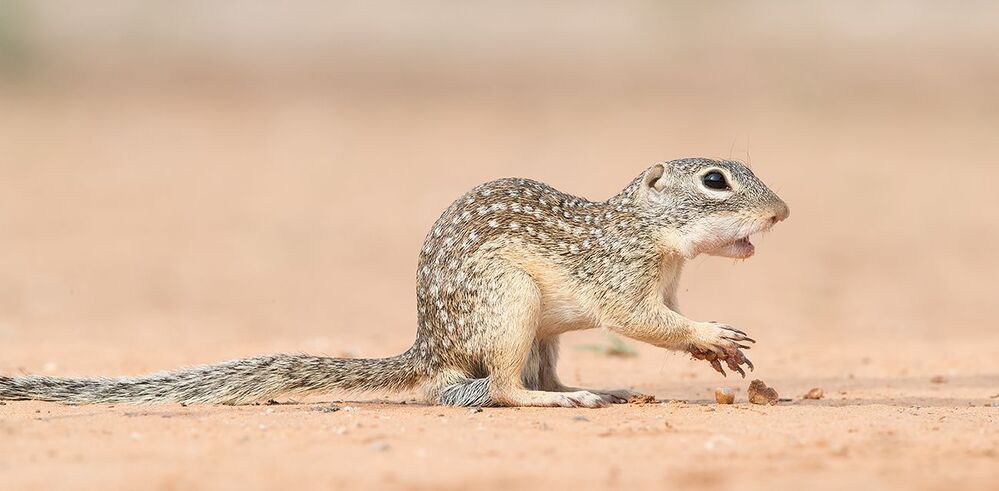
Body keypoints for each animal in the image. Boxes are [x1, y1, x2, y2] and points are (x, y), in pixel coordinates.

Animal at [1, 158, 788, 408]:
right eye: (714, 180)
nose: (781, 212)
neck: (653, 233)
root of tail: (429, 345)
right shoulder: (620, 273)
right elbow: (636, 319)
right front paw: (713, 334)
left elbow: (662, 321)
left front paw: (710, 346)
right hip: (509, 305)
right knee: (505, 388)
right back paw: (563, 399)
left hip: (537, 329)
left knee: (527, 376)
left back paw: (587, 387)